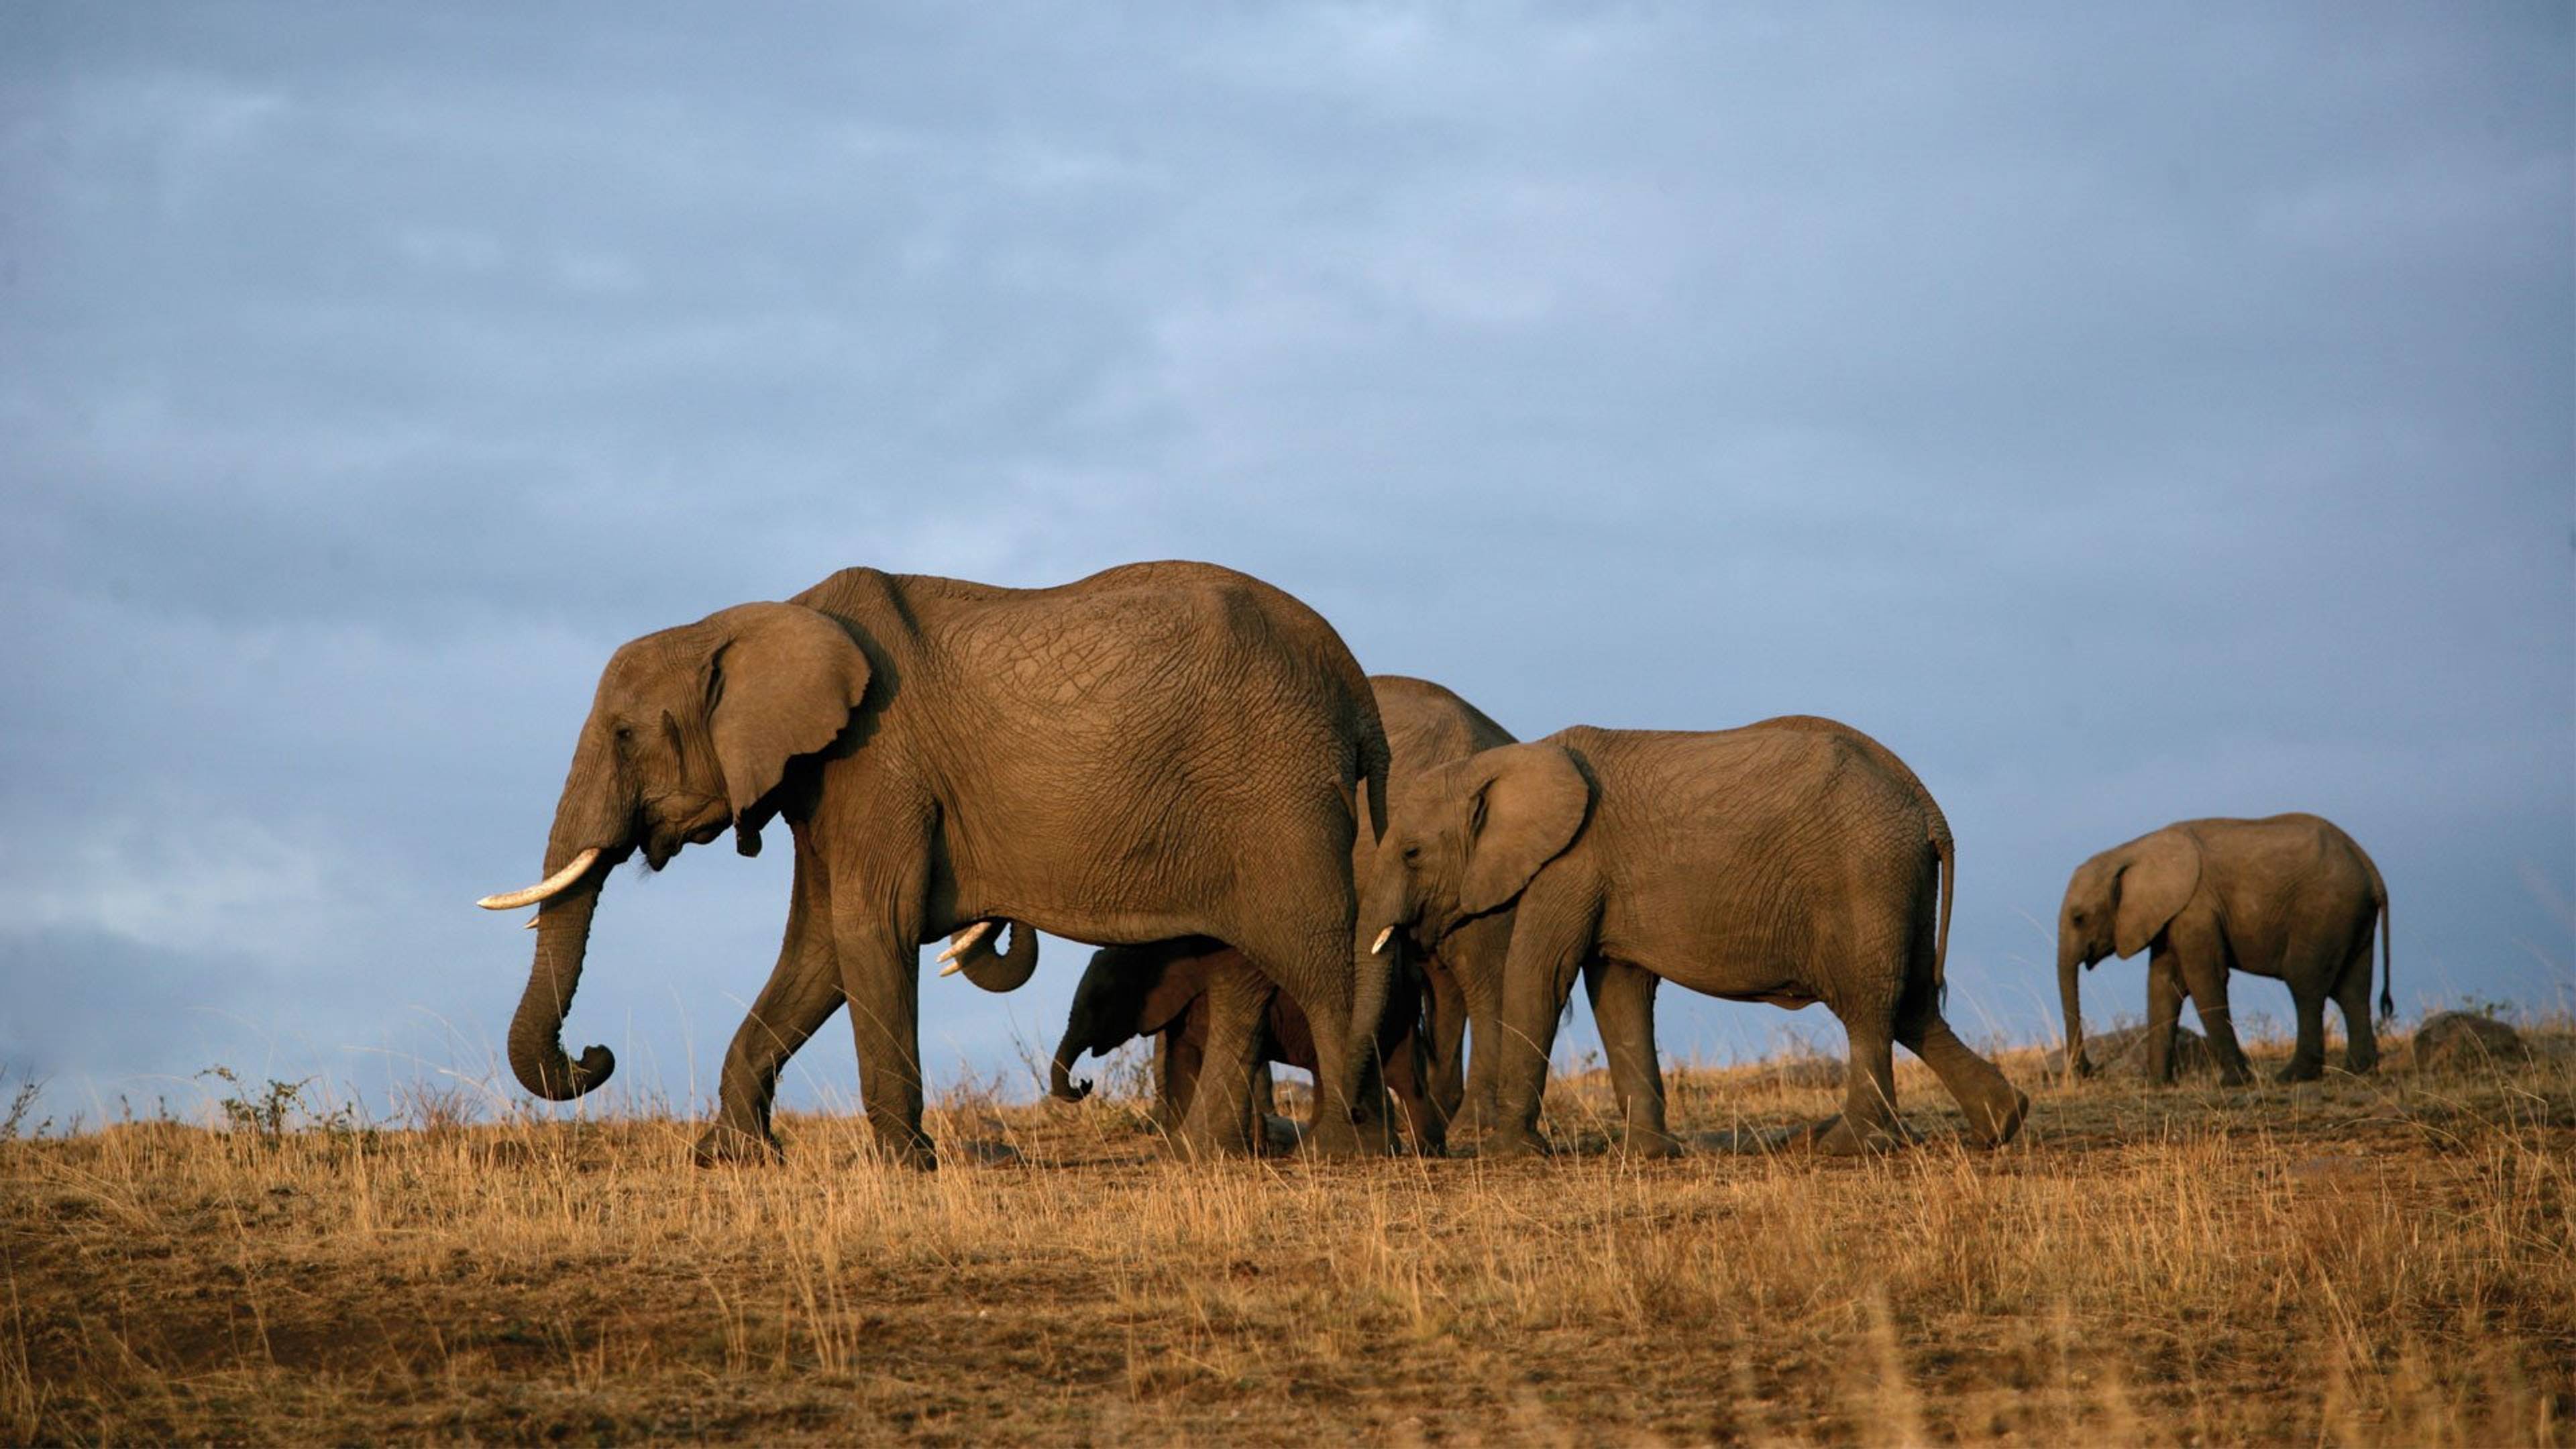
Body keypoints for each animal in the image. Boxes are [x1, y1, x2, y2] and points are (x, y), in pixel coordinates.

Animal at [471, 559, 1381, 1165]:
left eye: (625, 734)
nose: (595, 1056)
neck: (753, 620)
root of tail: (1355, 684)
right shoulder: (825, 779)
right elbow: (817, 949)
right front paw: (729, 1157)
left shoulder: (878, 761)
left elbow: (868, 927)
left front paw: (900, 1165)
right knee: (1240, 973)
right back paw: (1203, 1157)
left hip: (1279, 792)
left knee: (1315, 957)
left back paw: (1340, 1151)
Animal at [1360, 716, 2019, 1150]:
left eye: (1413, 853)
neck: (1510, 760)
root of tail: (1929, 807)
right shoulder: (1599, 877)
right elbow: (1618, 991)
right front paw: (1648, 1156)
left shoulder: (1571, 863)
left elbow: (1540, 976)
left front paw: (1510, 1154)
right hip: (1900, 883)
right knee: (1913, 1006)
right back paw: (2001, 1124)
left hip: (1866, 875)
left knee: (1869, 1007)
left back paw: (1843, 1147)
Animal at [2050, 814, 2390, 1083]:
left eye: (2079, 918)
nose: (2089, 1070)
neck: (2131, 850)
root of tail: (2370, 867)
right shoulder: (2169, 915)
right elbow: (2162, 984)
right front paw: (2157, 1085)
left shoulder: (2196, 910)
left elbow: (2204, 979)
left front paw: (2234, 1082)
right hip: (2351, 915)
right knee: (2353, 989)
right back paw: (2359, 1071)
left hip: (2324, 910)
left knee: (2305, 982)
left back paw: (2292, 1077)